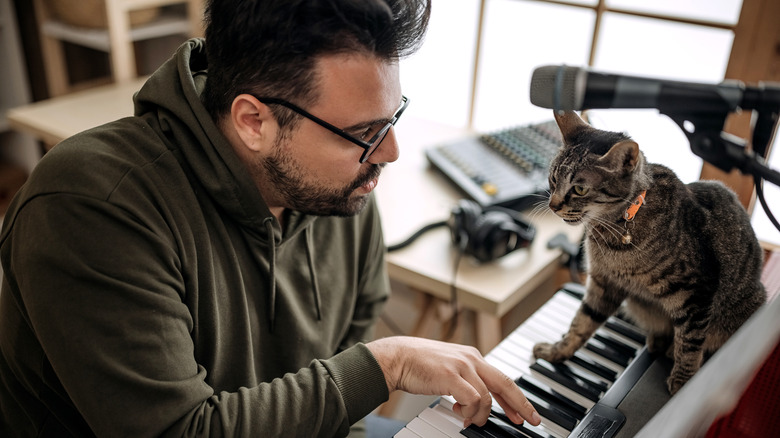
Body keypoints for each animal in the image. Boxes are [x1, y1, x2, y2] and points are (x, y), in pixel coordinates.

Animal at [532, 110, 764, 396]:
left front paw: (683, 381)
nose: (553, 205)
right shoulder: (603, 283)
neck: (613, 230)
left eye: (580, 189)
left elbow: (690, 342)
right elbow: (581, 323)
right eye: (553, 179)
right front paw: (557, 351)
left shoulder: (696, 291)